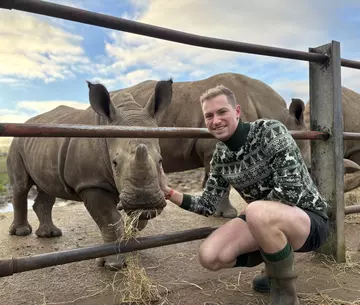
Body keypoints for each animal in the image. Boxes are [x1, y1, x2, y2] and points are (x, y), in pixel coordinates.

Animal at [6, 79, 174, 268]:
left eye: (160, 161)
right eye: (114, 163)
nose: (145, 201)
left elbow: (139, 220)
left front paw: (131, 242)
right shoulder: (90, 182)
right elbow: (109, 220)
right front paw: (113, 264)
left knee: (47, 189)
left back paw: (50, 234)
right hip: (16, 144)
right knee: (21, 186)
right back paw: (22, 232)